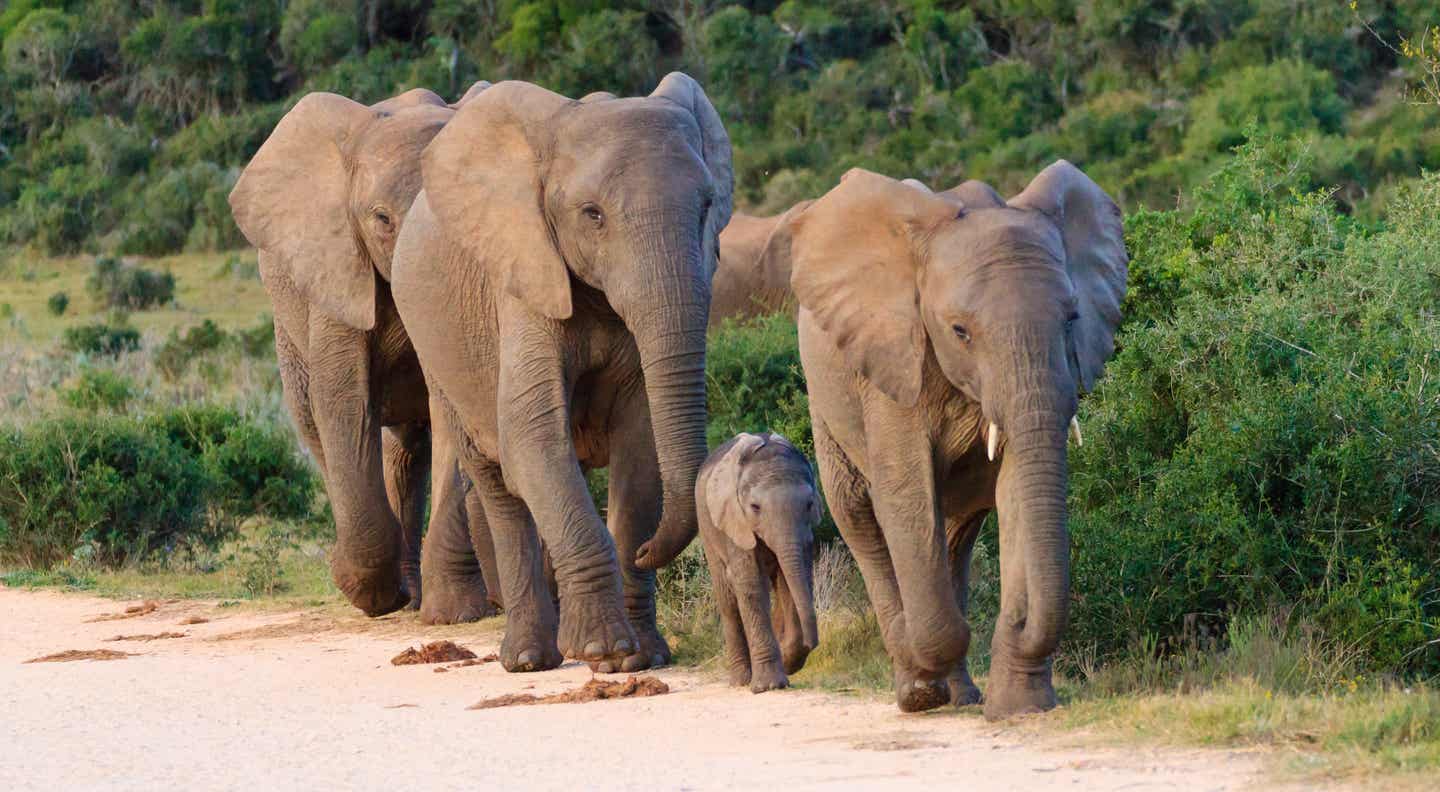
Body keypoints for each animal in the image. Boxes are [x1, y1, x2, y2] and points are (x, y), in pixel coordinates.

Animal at [230, 82, 506, 627]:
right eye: (381, 219)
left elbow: (450, 408)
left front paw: (452, 612)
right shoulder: (336, 269)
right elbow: (342, 399)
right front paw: (366, 592)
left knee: (411, 447)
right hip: (287, 323)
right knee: (317, 423)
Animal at [388, 73, 731, 671]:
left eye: (708, 204)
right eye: (592, 214)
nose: (650, 552)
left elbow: (640, 445)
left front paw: (642, 657)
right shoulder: (523, 280)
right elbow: (534, 438)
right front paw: (605, 651)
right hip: (439, 351)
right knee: (497, 480)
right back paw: (529, 659)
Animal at [696, 434, 823, 696]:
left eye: (809, 505)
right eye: (755, 508)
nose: (811, 643)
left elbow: (792, 582)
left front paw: (787, 662)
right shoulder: (735, 521)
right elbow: (752, 586)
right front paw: (768, 686)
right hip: (707, 527)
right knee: (728, 601)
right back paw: (741, 681)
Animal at [789, 161, 1123, 720]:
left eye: (1072, 319)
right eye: (960, 331)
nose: (1019, 624)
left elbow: (1015, 489)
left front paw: (1019, 707)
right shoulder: (894, 360)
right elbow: (904, 493)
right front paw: (927, 681)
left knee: (955, 532)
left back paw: (962, 694)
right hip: (825, 397)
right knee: (858, 514)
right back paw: (917, 688)